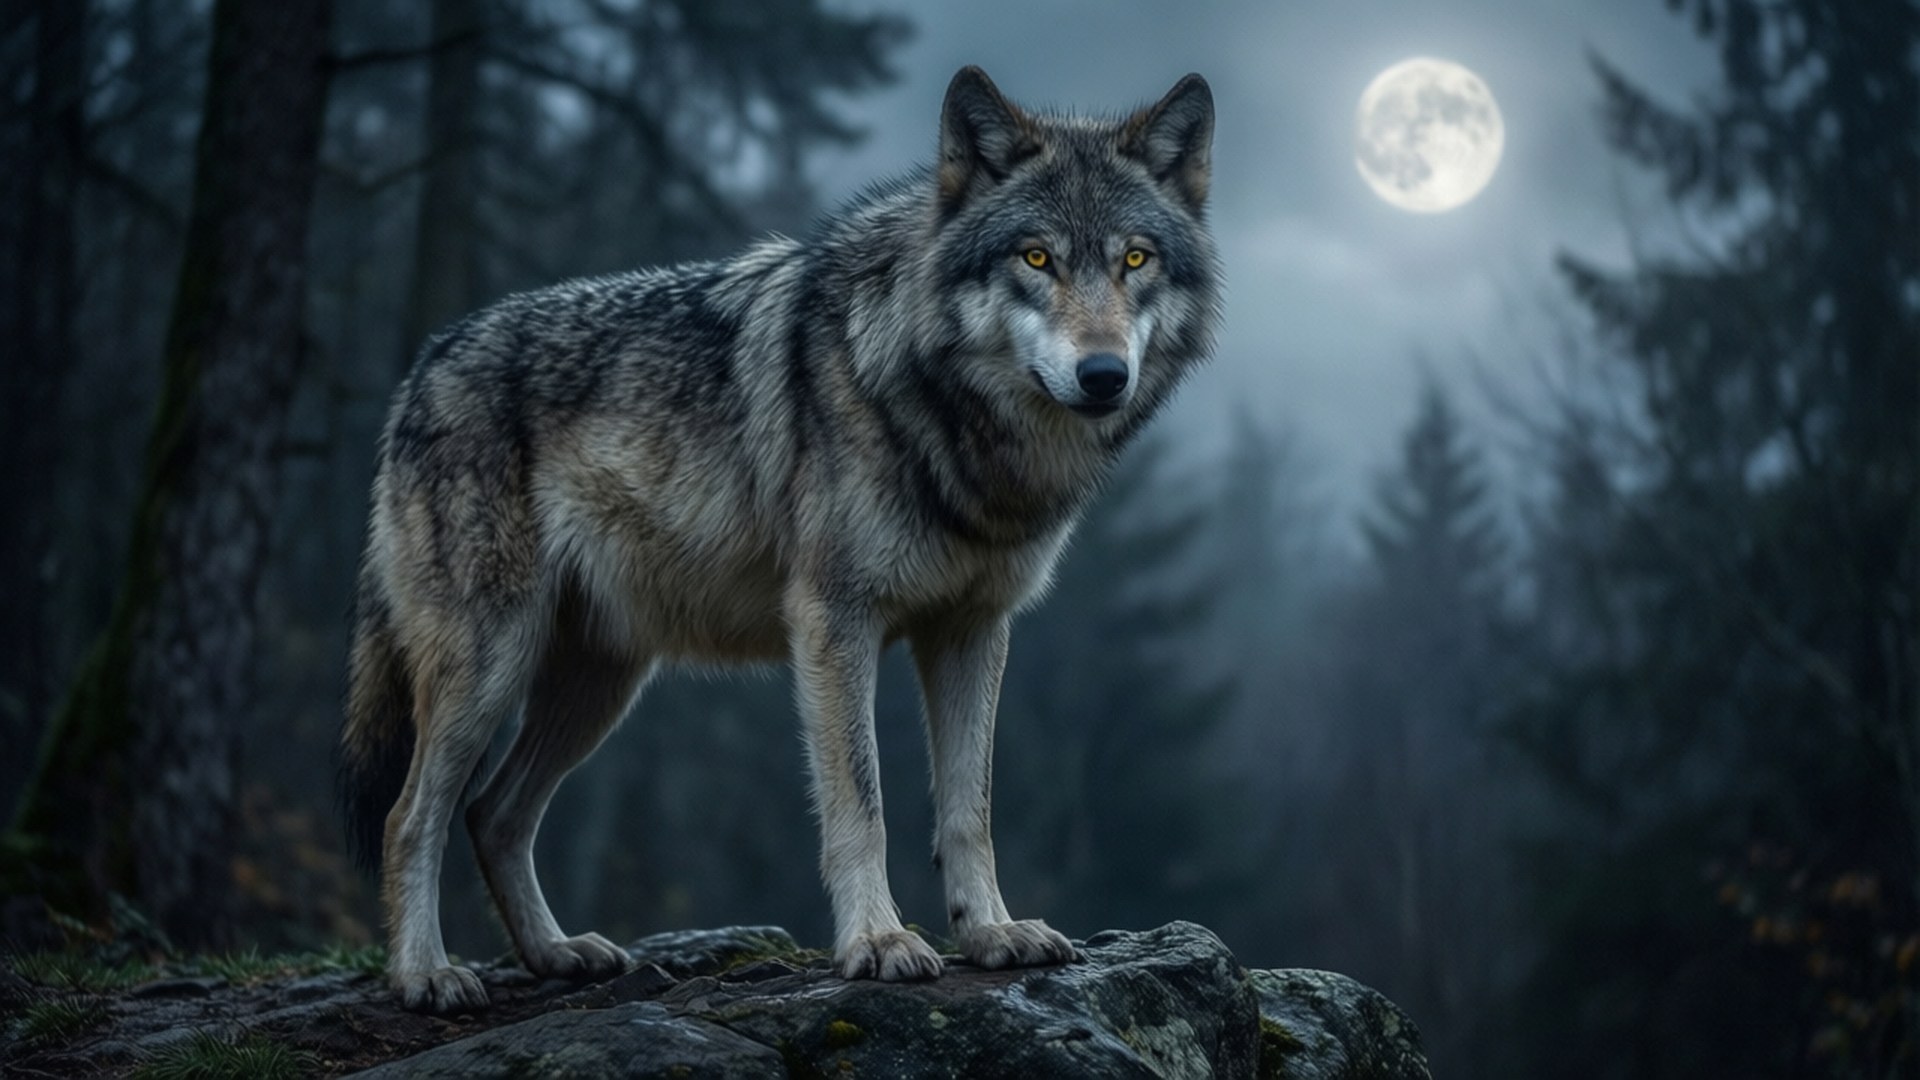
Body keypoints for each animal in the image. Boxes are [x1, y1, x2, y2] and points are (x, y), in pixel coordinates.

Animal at [336, 66, 1221, 1013]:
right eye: (1037, 258)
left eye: (1135, 259)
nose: (1104, 375)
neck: (950, 425)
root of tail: (425, 364)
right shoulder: (835, 620)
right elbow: (862, 804)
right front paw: (877, 941)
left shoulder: (974, 630)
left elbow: (968, 810)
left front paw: (990, 932)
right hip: (491, 665)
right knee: (411, 816)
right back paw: (426, 972)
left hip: (600, 684)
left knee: (494, 813)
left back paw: (555, 953)